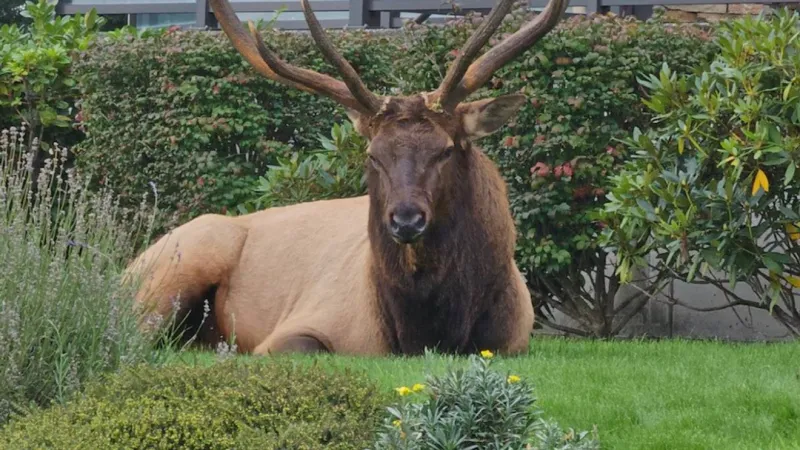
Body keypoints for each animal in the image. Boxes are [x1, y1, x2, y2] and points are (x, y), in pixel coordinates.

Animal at [125, 0, 569, 356]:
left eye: (447, 148)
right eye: (373, 154)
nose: (406, 219)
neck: (426, 332)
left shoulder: (514, 341)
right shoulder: (295, 329)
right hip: (178, 266)